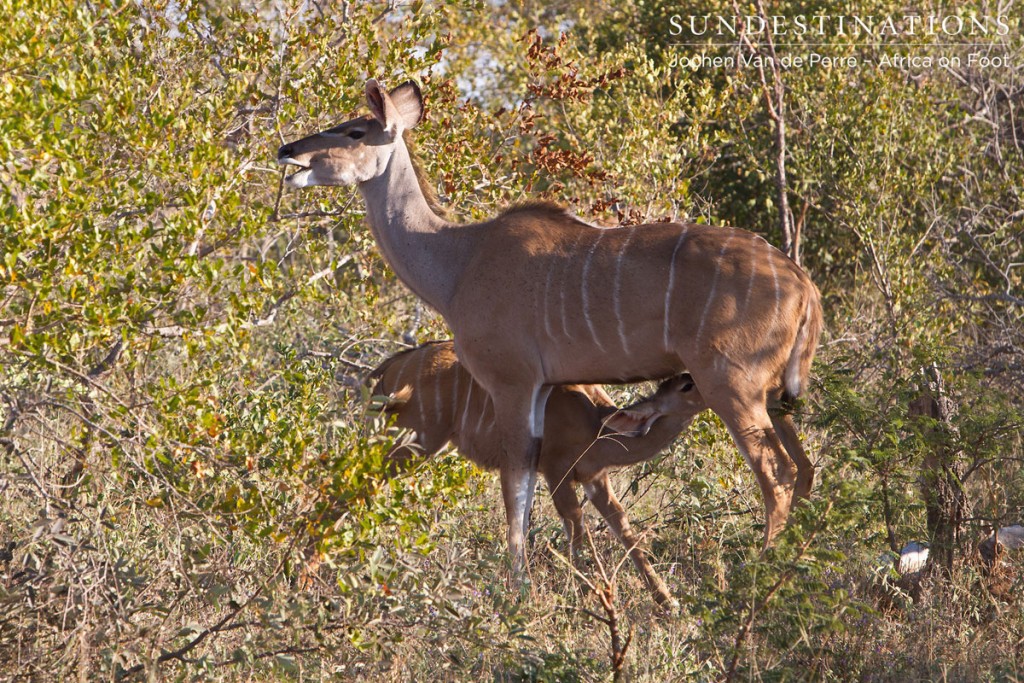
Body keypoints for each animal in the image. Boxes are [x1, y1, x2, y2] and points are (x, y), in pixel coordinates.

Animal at [280, 80, 823, 573]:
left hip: (731, 385)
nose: (288, 152)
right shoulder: (542, 391)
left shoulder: (514, 383)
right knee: (804, 469)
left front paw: (516, 588)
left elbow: (516, 486)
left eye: (354, 131)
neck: (459, 261)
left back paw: (756, 575)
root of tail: (803, 285)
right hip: (773, 395)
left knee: (776, 474)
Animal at [372, 339, 708, 602]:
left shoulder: (595, 478)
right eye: (687, 385)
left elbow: (622, 525)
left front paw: (666, 601)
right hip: (413, 443)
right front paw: (586, 591)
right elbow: (576, 523)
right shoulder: (557, 471)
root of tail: (390, 366)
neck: (597, 424)